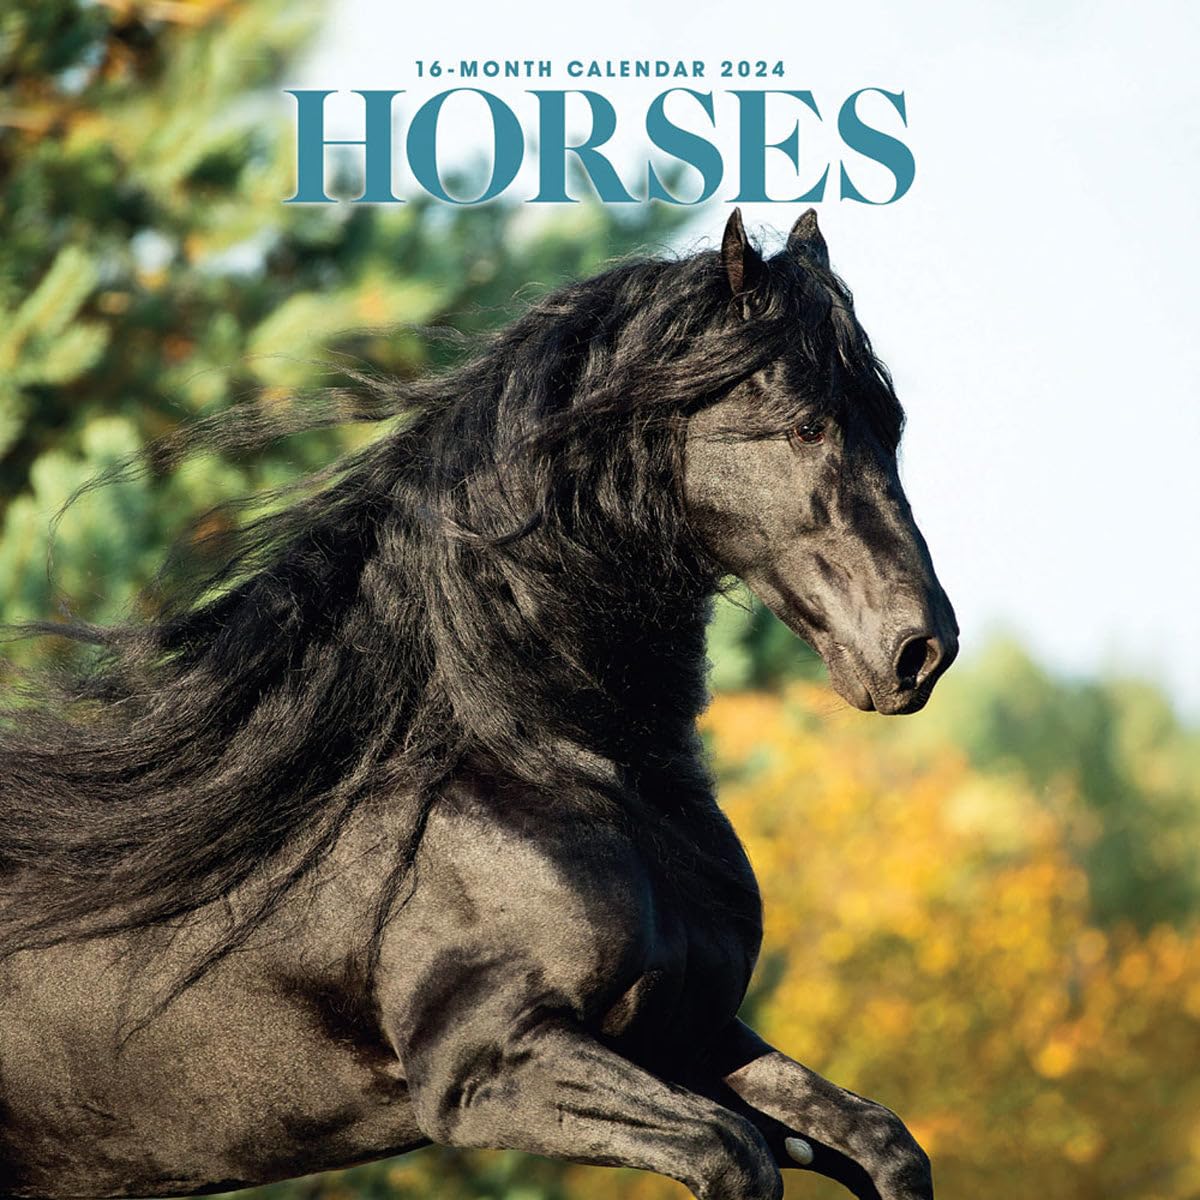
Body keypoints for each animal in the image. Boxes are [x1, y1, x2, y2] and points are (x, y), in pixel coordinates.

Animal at [0, 208, 957, 1200]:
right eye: (807, 426)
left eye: (889, 424)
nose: (919, 650)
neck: (549, 761)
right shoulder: (487, 1068)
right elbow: (732, 1153)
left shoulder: (691, 1036)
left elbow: (878, 1138)